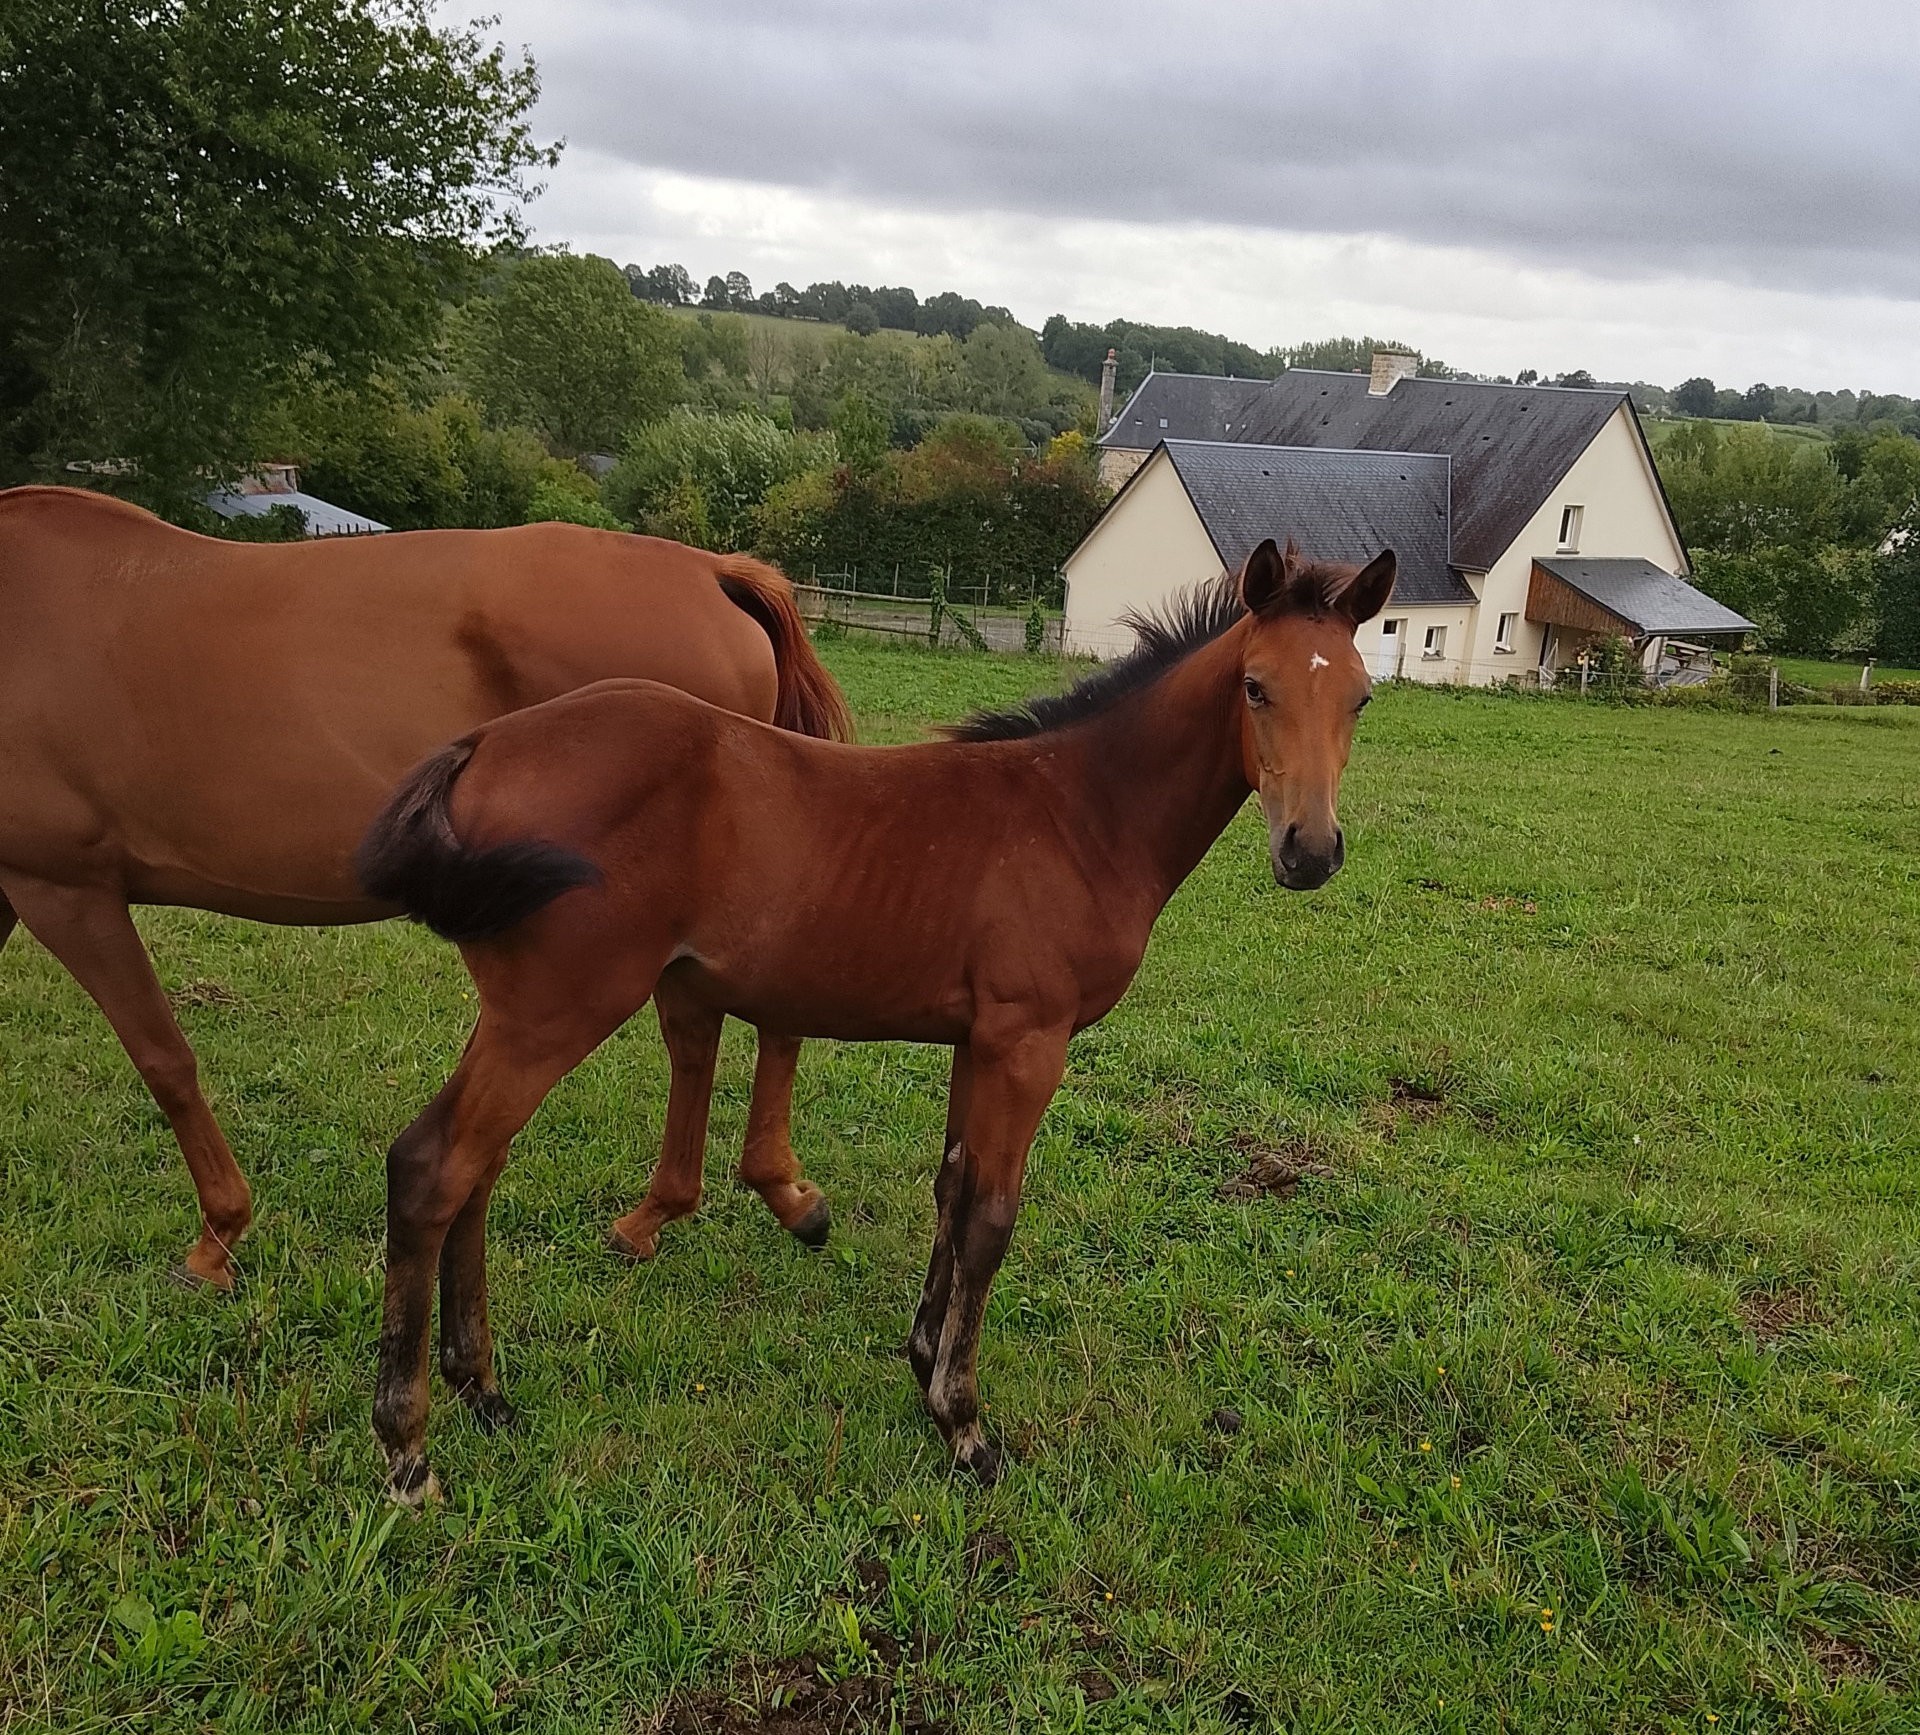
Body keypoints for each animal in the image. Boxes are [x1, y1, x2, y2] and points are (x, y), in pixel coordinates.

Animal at [357, 538, 1394, 1501]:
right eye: (1256, 687)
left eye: (1361, 699)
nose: (1309, 851)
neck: (1079, 815)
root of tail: (483, 744)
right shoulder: (1029, 1043)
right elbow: (992, 1218)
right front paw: (965, 1424)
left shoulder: (980, 1040)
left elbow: (952, 1189)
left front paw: (924, 1359)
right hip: (556, 1009)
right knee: (434, 1166)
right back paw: (408, 1448)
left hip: (519, 1013)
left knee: (476, 1170)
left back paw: (483, 1388)